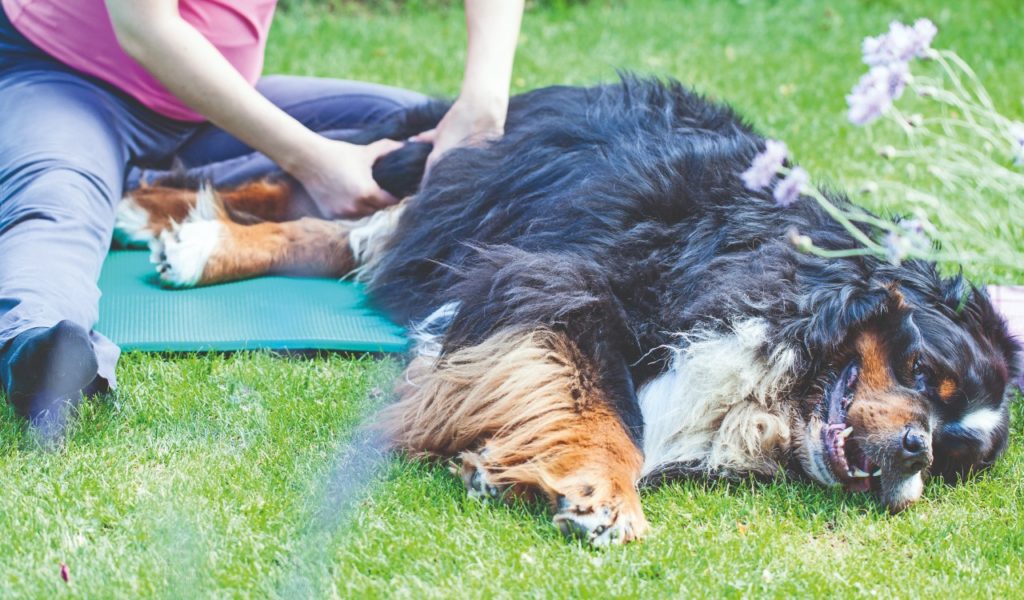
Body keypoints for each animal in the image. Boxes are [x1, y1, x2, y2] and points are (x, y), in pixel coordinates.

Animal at [114, 77, 1015, 544]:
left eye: (953, 456)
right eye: (921, 371)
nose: (914, 451)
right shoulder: (558, 282)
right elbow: (602, 398)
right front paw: (602, 491)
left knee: (340, 230)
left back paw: (177, 231)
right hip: (446, 170)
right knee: (324, 194)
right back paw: (168, 221)